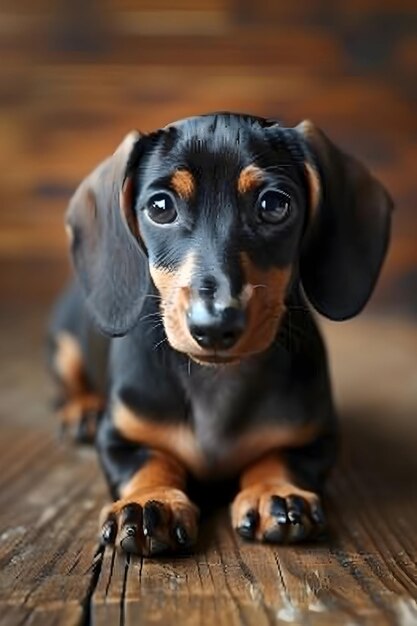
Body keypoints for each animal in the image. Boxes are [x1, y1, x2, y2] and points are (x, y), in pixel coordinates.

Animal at [48, 113, 390, 556]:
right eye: (160, 207)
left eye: (274, 205)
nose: (214, 325)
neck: (215, 381)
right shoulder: (120, 435)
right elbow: (149, 461)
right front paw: (150, 501)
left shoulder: (316, 437)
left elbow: (282, 457)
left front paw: (276, 492)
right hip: (64, 347)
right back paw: (83, 411)